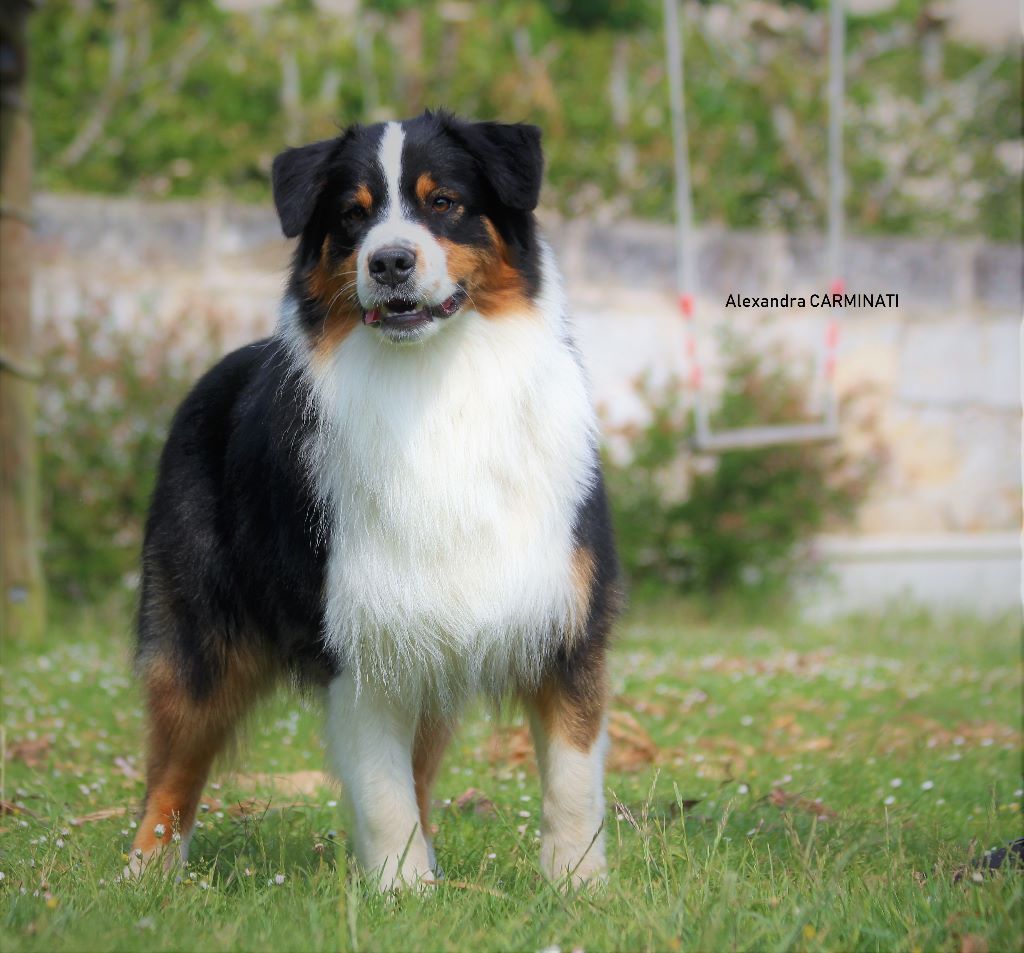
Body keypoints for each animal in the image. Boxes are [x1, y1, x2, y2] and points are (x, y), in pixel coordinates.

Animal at [132, 111, 618, 892]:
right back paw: (144, 876)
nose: (389, 262)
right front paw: (403, 892)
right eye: (352, 216)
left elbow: (573, 782)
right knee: (172, 770)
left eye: (444, 201)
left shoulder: (566, 621)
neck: (433, 384)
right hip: (201, 638)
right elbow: (383, 790)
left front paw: (578, 886)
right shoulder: (357, 636)